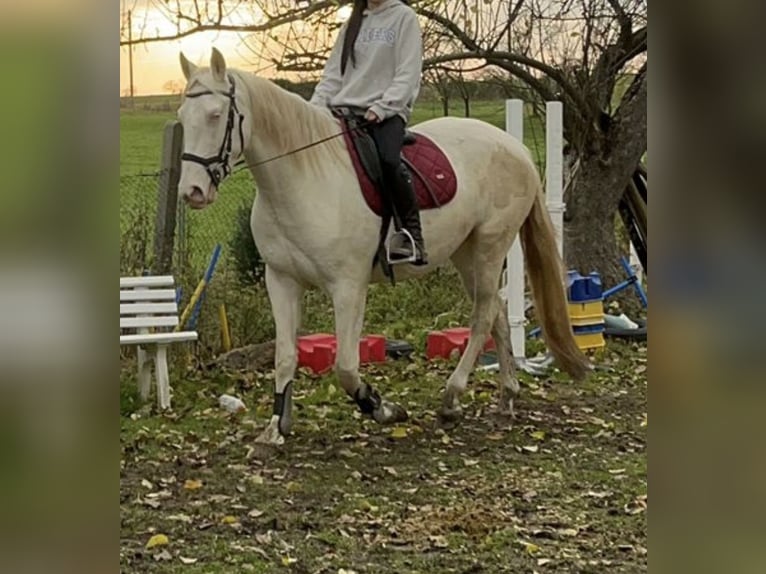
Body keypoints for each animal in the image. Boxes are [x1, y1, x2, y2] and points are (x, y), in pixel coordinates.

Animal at [176, 48, 589, 445]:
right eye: (182, 115)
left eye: (215, 116)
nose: (192, 191)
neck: (303, 178)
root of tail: (515, 148)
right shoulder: (281, 281)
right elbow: (285, 356)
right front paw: (276, 427)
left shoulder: (348, 288)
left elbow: (345, 366)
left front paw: (382, 408)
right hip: (466, 253)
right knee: (497, 313)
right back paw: (506, 398)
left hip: (491, 245)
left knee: (482, 317)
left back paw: (452, 398)